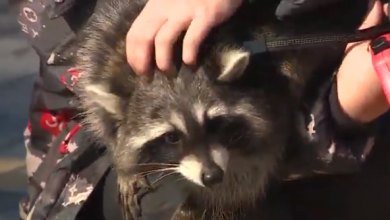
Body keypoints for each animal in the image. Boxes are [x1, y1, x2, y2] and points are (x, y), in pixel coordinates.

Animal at [75, 0, 368, 219]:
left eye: (213, 124)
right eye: (171, 137)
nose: (212, 176)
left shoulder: (271, 97)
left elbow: (249, 173)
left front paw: (203, 204)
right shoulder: (107, 48)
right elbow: (99, 116)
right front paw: (123, 163)